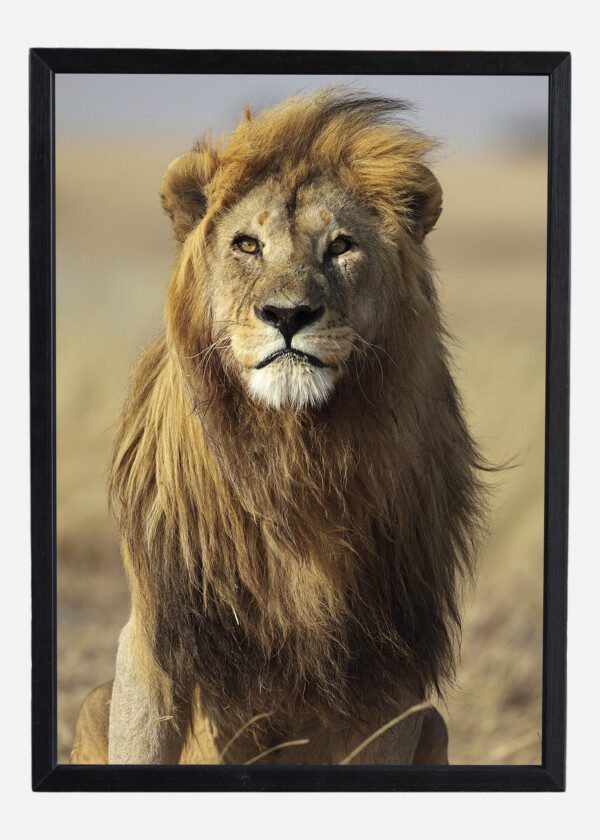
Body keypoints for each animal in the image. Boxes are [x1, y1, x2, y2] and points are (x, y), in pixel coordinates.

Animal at [71, 90, 483, 766]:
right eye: (247, 245)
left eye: (341, 246)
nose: (288, 315)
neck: (294, 458)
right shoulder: (157, 635)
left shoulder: (393, 670)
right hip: (91, 702)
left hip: (435, 726)